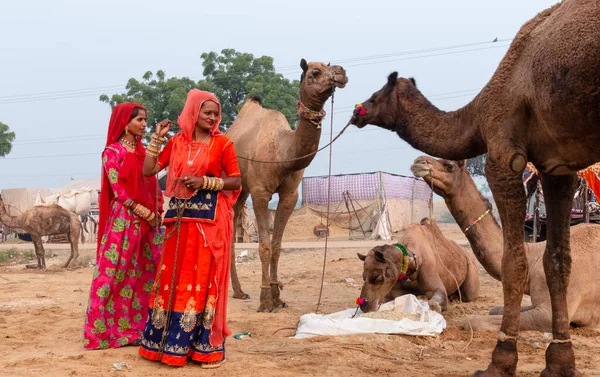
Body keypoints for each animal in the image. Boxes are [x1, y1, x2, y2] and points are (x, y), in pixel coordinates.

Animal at [224, 58, 346, 312]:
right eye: (314, 72)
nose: (341, 72)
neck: (283, 152)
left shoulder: (290, 194)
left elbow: (277, 245)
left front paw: (277, 296)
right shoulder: (261, 192)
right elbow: (264, 246)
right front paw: (265, 300)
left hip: (242, 190)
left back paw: (239, 292)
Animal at [412, 154, 600, 330]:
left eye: (449, 165)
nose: (418, 161)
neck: (535, 256)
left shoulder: (550, 311)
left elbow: (472, 321)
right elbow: (494, 309)